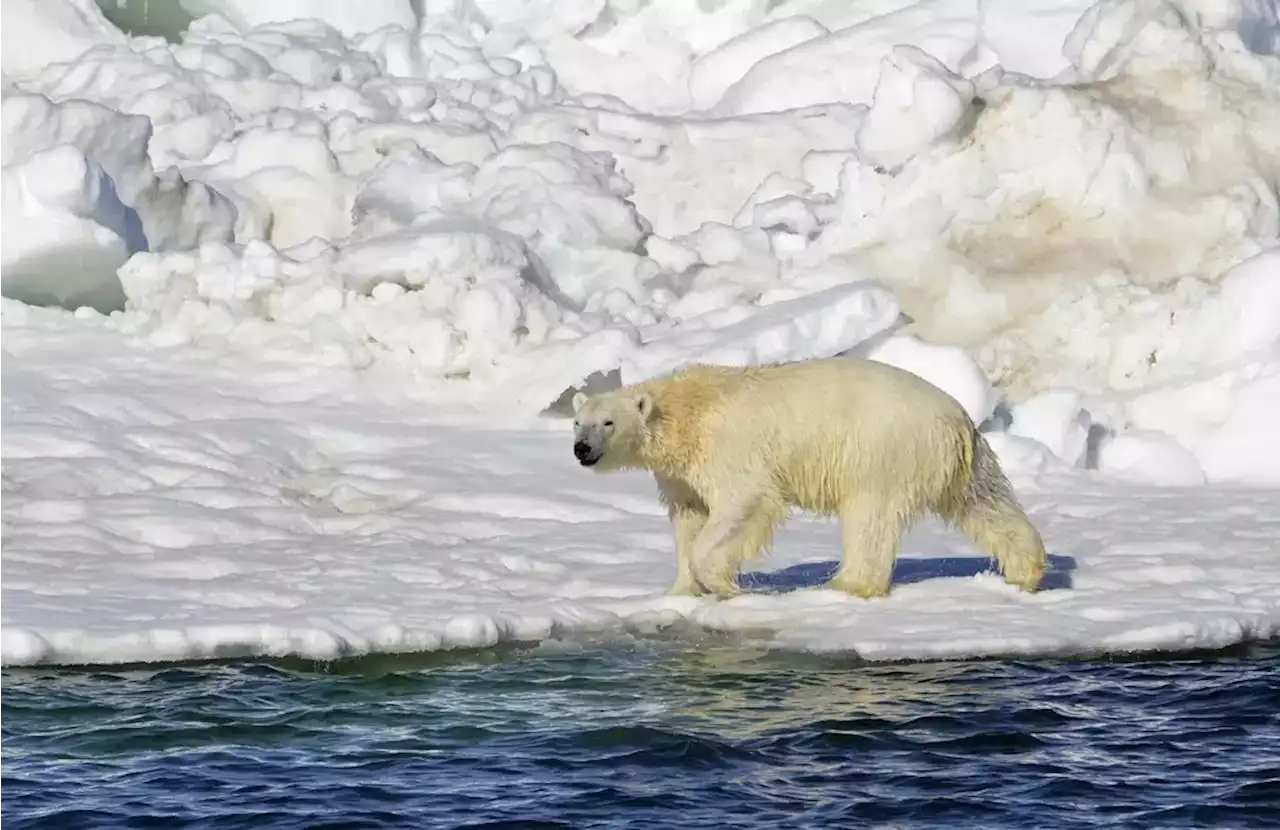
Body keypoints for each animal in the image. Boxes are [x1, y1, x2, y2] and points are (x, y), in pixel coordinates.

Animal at [573, 356, 1049, 596]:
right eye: (578, 422)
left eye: (607, 423)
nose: (582, 449)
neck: (685, 411)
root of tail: (957, 420)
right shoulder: (681, 473)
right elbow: (689, 516)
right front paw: (680, 591)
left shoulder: (728, 449)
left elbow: (744, 501)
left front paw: (720, 583)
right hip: (958, 462)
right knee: (984, 502)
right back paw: (1026, 570)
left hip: (881, 450)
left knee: (870, 518)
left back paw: (845, 584)